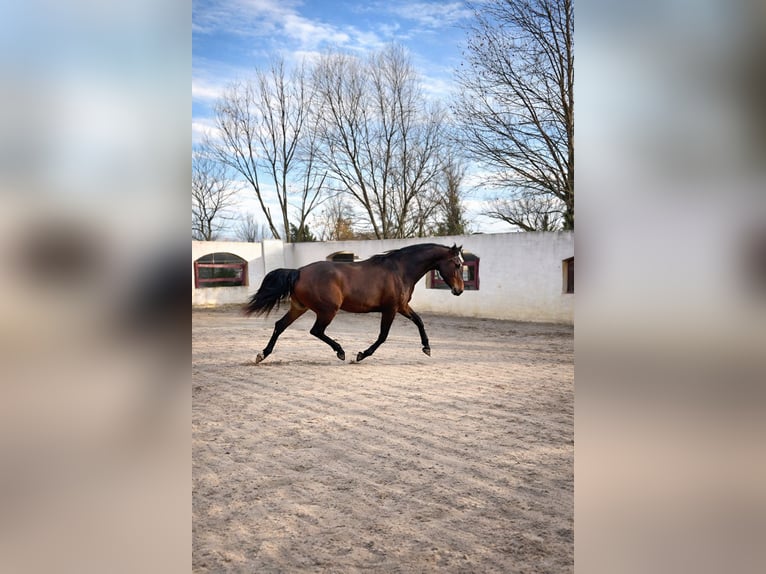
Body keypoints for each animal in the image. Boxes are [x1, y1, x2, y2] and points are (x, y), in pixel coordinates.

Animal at [243, 243, 465, 363]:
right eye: (457, 264)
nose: (459, 290)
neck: (400, 270)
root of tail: (298, 271)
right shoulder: (391, 309)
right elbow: (383, 336)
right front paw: (361, 355)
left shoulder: (401, 307)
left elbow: (419, 321)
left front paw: (427, 348)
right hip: (328, 310)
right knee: (316, 331)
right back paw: (340, 352)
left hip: (299, 307)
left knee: (280, 326)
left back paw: (262, 355)